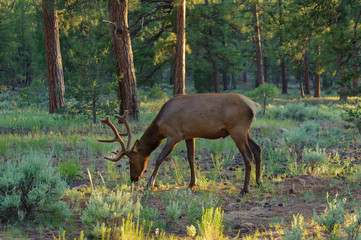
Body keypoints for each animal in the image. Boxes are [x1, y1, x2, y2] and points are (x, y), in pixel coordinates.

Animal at [98, 93, 262, 196]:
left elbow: (160, 158)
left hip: (237, 129)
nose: (133, 179)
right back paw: (258, 181)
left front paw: (149, 184)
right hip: (245, 131)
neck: (160, 124)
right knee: (258, 149)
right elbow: (191, 158)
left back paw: (244, 190)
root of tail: (254, 105)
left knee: (248, 156)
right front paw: (191, 183)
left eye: (131, 161)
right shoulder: (189, 135)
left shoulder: (173, 135)